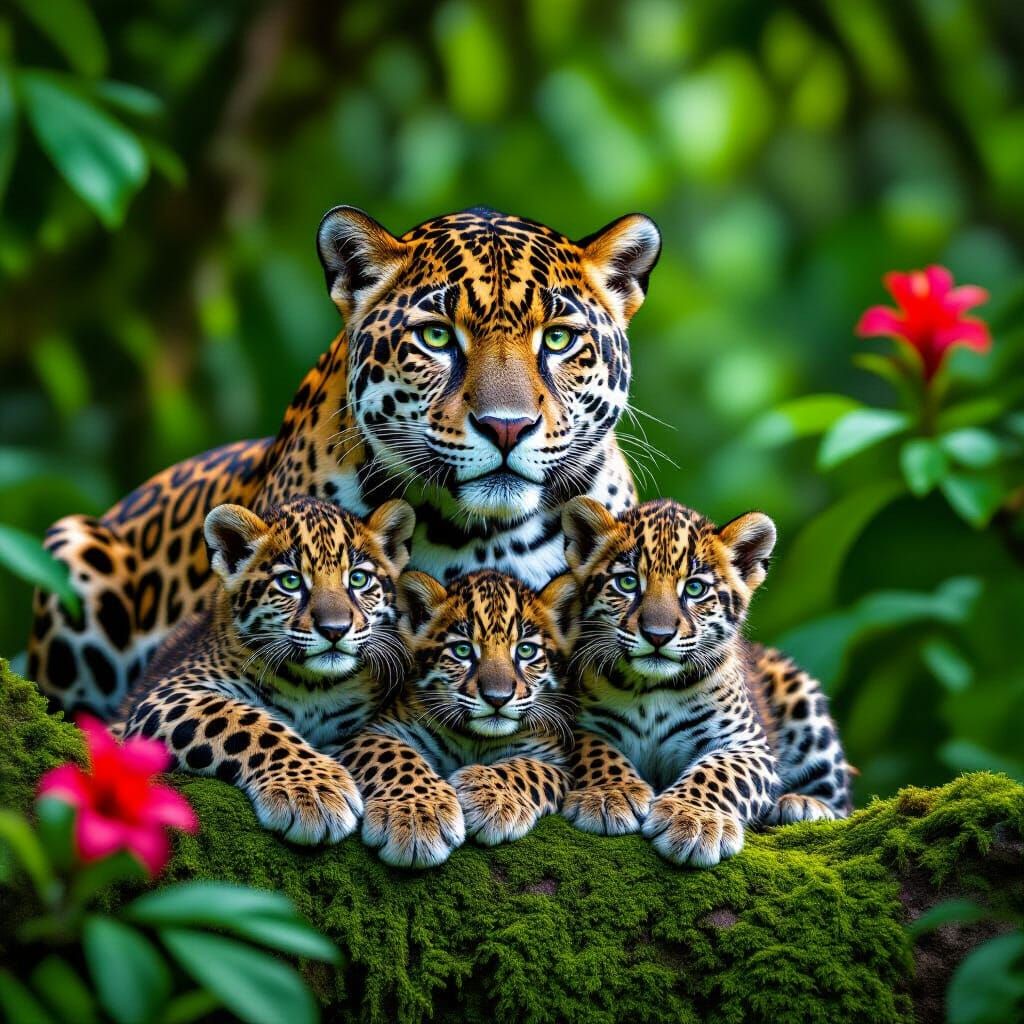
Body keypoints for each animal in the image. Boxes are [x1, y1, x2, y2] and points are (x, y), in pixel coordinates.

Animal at [118, 495, 414, 845]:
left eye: (358, 579)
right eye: (291, 582)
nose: (335, 629)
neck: (315, 687)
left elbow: (389, 747)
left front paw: (418, 813)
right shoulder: (171, 694)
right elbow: (248, 722)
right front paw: (315, 791)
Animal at [338, 569, 577, 868]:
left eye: (526, 651)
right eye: (462, 651)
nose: (497, 698)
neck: (475, 739)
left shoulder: (556, 759)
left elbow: (528, 769)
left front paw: (492, 798)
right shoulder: (376, 731)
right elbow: (395, 757)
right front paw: (417, 817)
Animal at [558, 496, 852, 867]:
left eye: (695, 589)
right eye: (627, 583)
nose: (657, 635)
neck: (652, 689)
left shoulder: (746, 744)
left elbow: (718, 772)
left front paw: (693, 821)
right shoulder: (574, 724)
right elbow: (594, 750)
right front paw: (610, 794)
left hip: (800, 694)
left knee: (841, 801)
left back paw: (803, 805)